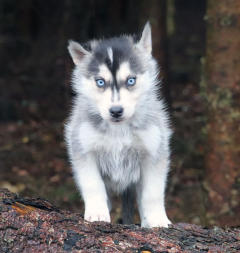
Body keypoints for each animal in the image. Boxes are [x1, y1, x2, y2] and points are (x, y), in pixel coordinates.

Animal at [64, 22, 172, 228]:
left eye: (131, 80)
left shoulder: (154, 152)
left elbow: (152, 193)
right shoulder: (84, 150)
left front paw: (156, 219)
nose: (116, 111)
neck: (118, 128)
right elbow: (93, 185)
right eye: (100, 82)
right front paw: (97, 212)